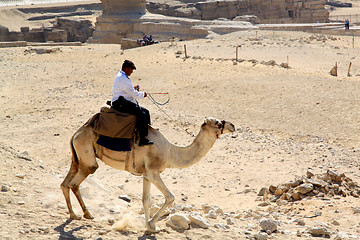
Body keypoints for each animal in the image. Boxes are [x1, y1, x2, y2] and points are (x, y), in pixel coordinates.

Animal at [61, 116, 236, 232]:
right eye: (218, 123)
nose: (233, 125)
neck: (171, 152)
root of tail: (76, 133)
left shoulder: (146, 174)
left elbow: (146, 200)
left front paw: (149, 226)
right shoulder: (153, 172)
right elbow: (170, 197)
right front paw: (152, 225)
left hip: (77, 159)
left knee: (65, 184)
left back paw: (74, 215)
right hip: (88, 160)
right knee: (75, 183)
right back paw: (86, 214)